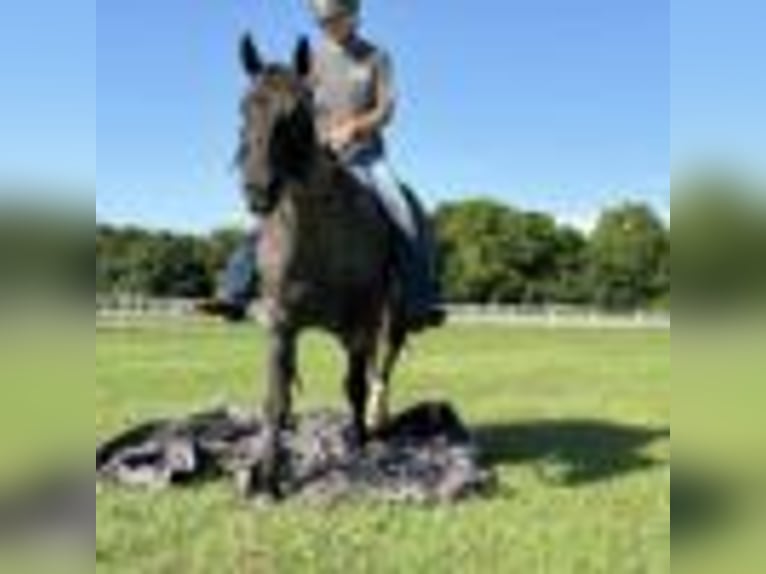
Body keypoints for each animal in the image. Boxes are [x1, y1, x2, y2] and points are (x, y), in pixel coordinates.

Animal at [235, 34, 411, 497]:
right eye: (245, 107)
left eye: (297, 112)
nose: (258, 191)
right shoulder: (281, 323)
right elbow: (276, 399)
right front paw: (268, 476)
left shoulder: (360, 323)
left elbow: (354, 386)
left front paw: (362, 449)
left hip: (392, 319)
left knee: (383, 368)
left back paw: (379, 418)